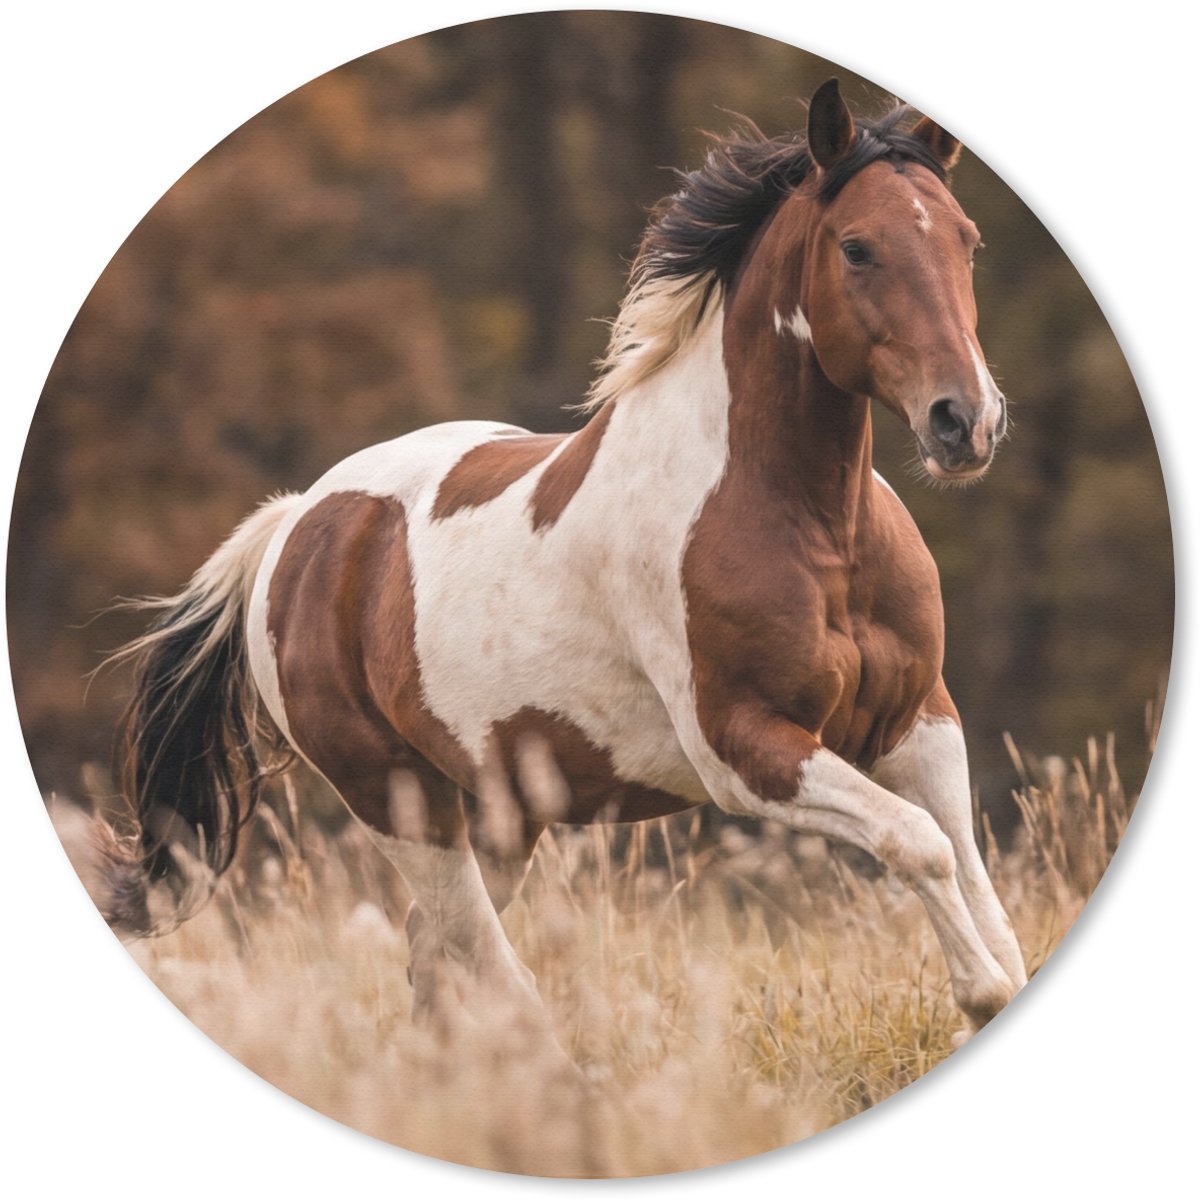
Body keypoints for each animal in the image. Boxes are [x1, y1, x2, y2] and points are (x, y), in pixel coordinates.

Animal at [105, 79, 1026, 1045]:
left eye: (966, 239)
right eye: (857, 247)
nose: (964, 422)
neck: (817, 533)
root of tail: (296, 524)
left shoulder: (920, 722)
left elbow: (968, 868)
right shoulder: (745, 749)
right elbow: (919, 843)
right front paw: (979, 996)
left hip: (503, 811)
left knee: (435, 955)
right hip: (399, 799)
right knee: (481, 962)